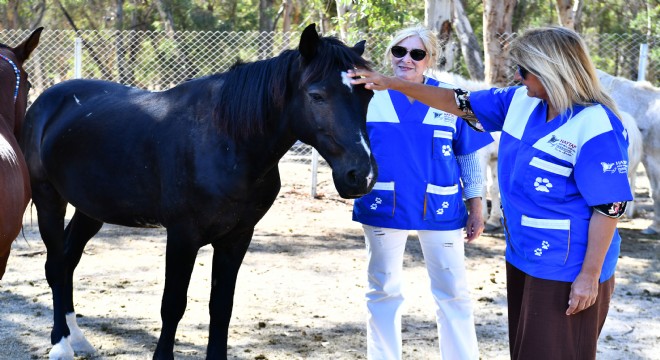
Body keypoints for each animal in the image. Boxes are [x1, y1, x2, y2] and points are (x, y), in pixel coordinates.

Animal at [20, 23, 376, 358]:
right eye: (317, 95)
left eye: (367, 96)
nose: (361, 175)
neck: (226, 141)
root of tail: (45, 103)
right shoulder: (182, 236)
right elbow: (173, 305)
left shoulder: (237, 238)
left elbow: (221, 307)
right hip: (49, 199)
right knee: (55, 265)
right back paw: (60, 345)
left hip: (91, 209)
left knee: (68, 260)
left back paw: (78, 339)